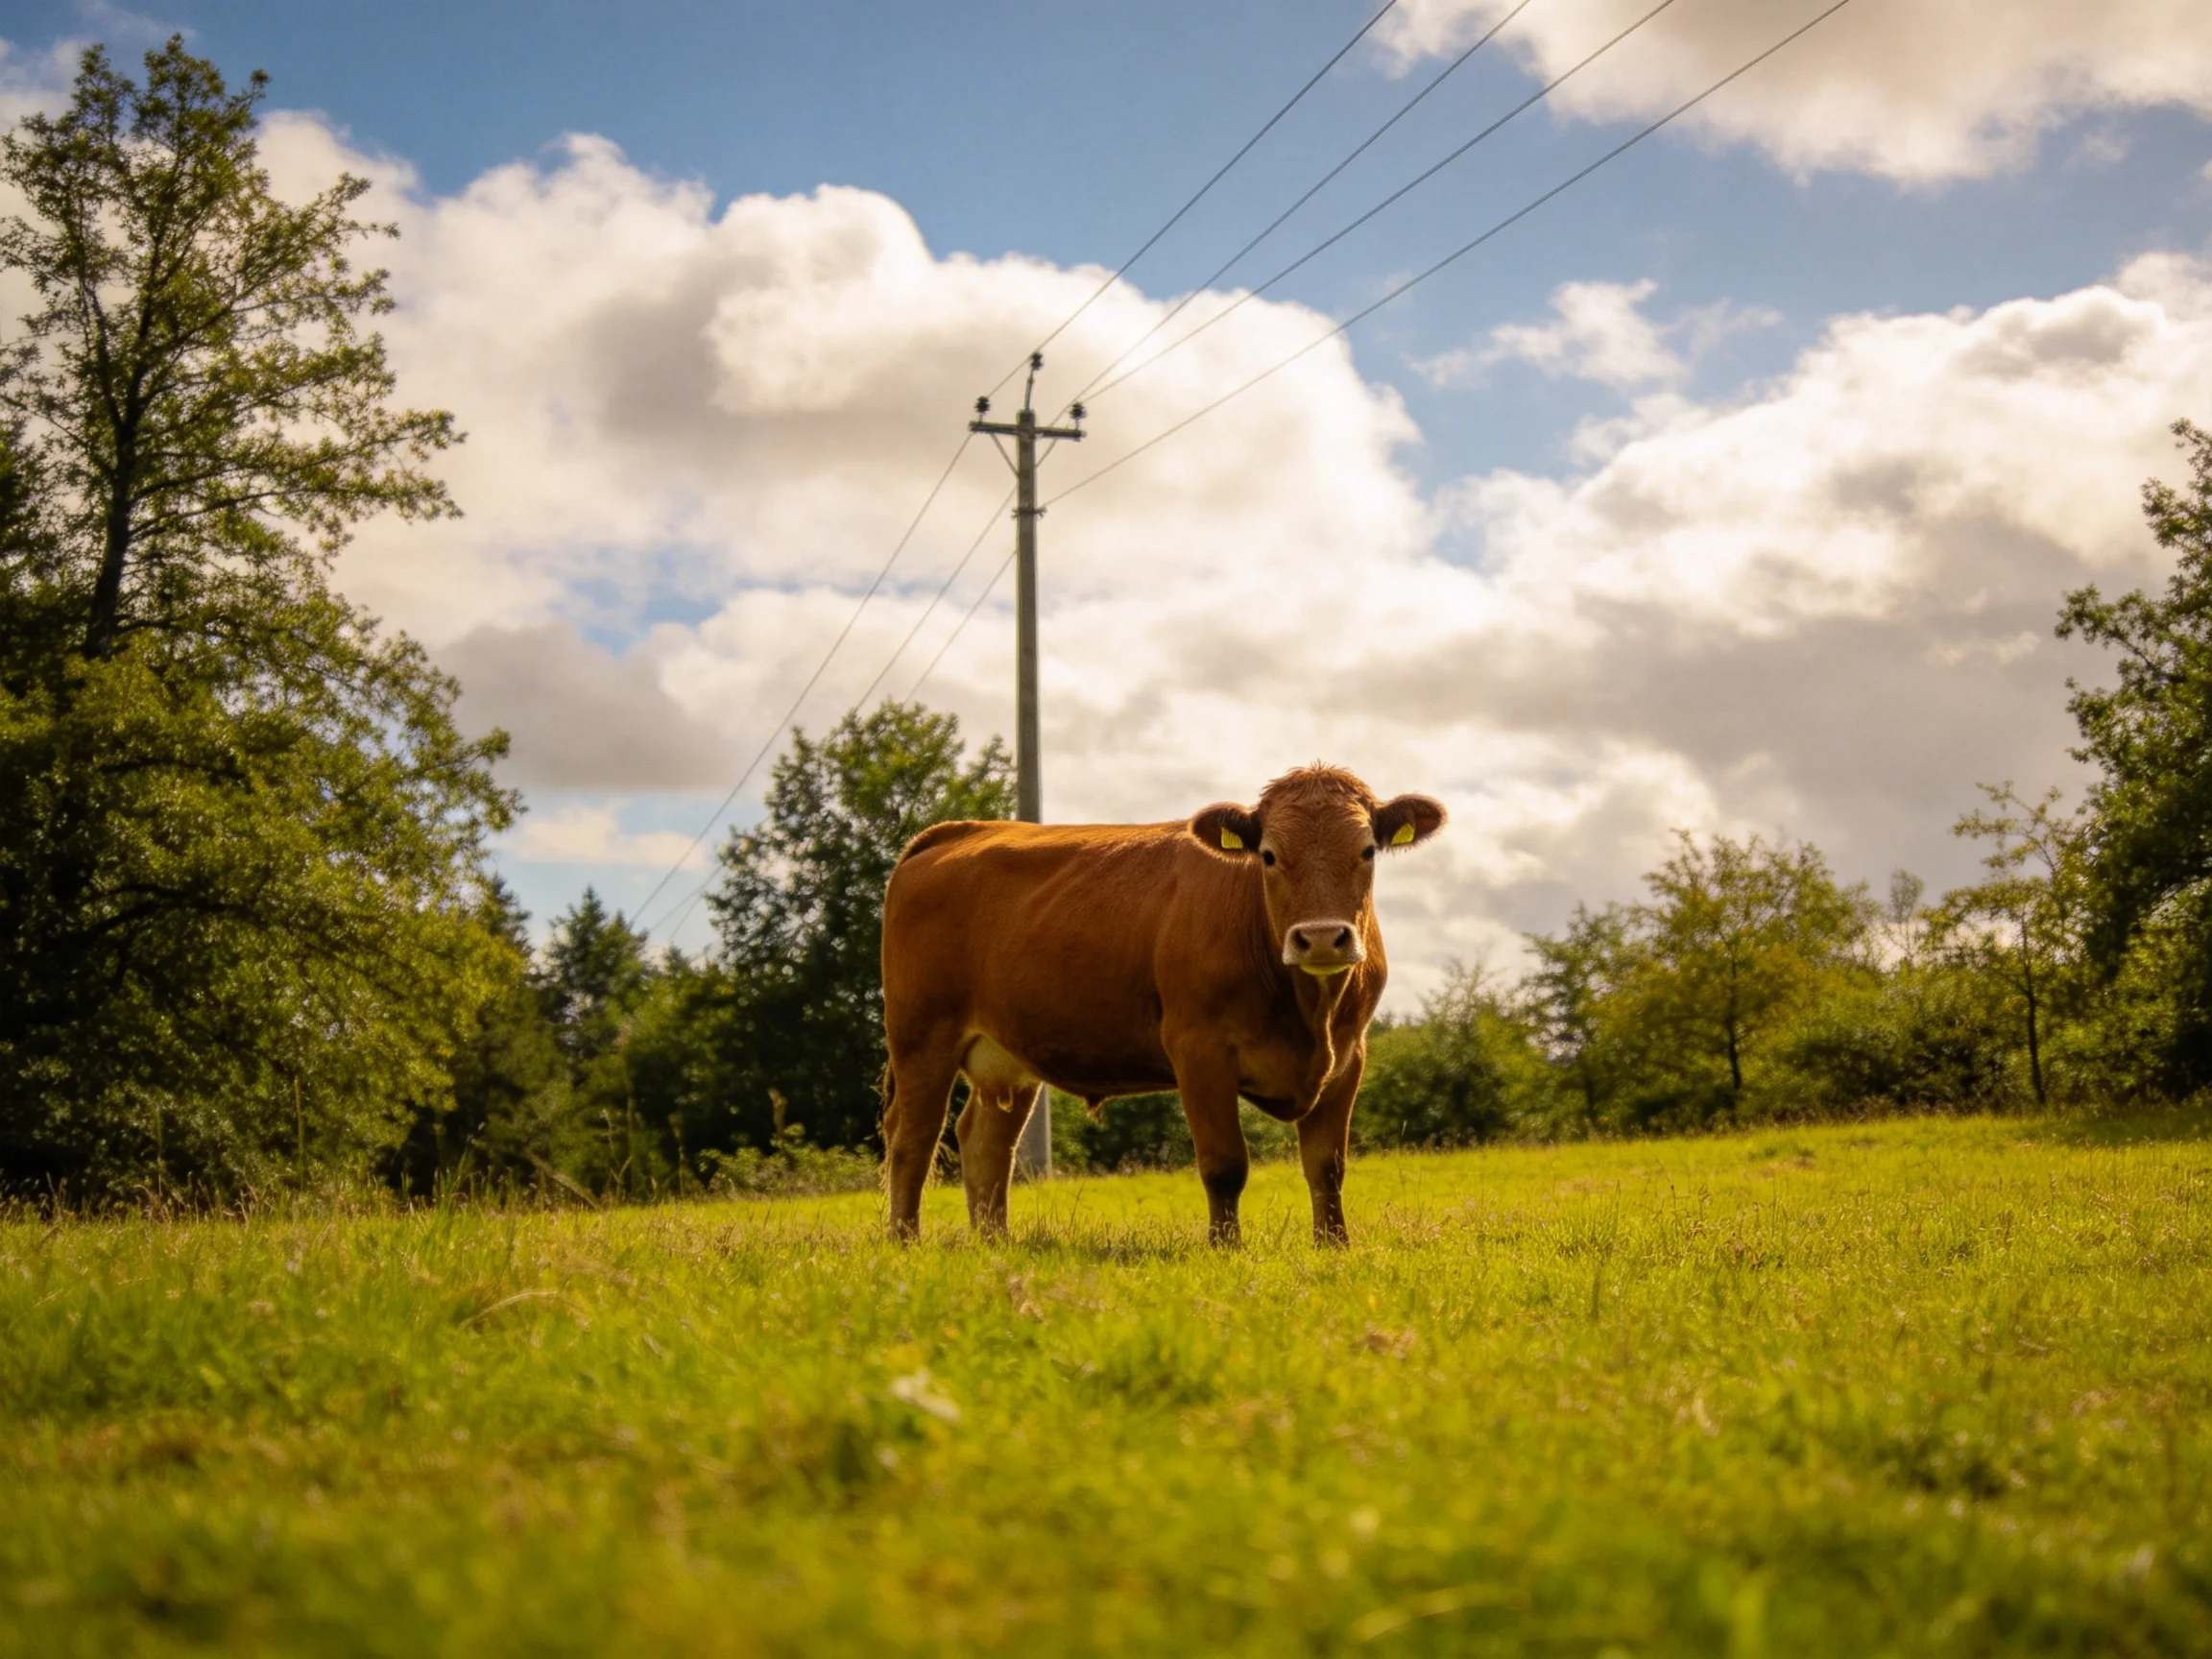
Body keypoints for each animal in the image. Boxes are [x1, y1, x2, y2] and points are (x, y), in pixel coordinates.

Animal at [879, 764, 1445, 1245]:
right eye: (1268, 855)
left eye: (1367, 851)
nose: (1323, 938)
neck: (1310, 1014)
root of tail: (957, 831)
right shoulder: (1198, 1049)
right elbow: (1225, 1163)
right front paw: (1225, 1249)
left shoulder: (1349, 1056)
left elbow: (1327, 1165)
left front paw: (1333, 1246)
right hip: (921, 1035)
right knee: (913, 1140)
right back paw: (906, 1243)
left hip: (1006, 1055)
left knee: (984, 1141)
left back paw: (994, 1244)